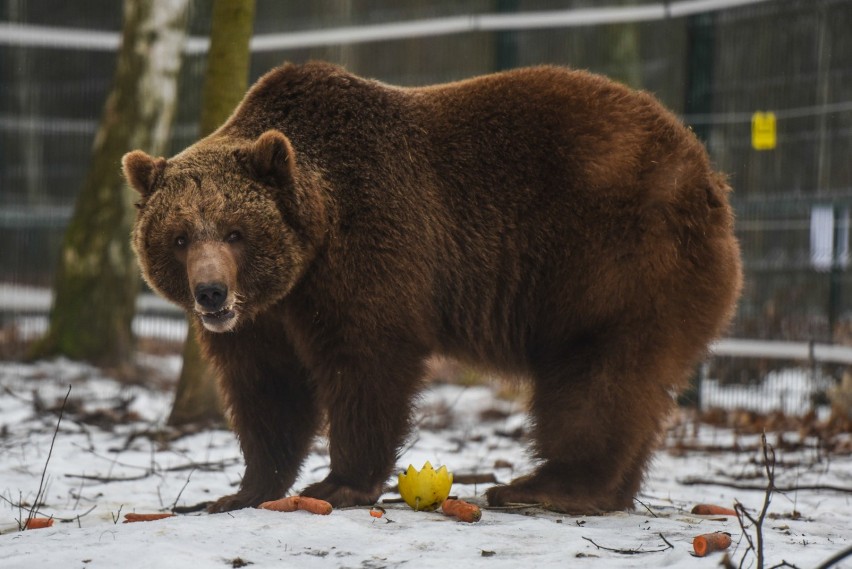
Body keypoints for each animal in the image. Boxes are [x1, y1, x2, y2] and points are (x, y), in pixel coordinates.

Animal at [123, 60, 744, 512]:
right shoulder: (266, 315)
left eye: (235, 231)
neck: (311, 251)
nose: (210, 294)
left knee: (595, 378)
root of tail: (708, 174)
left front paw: (339, 482)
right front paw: (239, 491)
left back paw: (543, 486)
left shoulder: (371, 248)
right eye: (179, 236)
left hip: (611, 261)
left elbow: (367, 362)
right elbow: (267, 389)